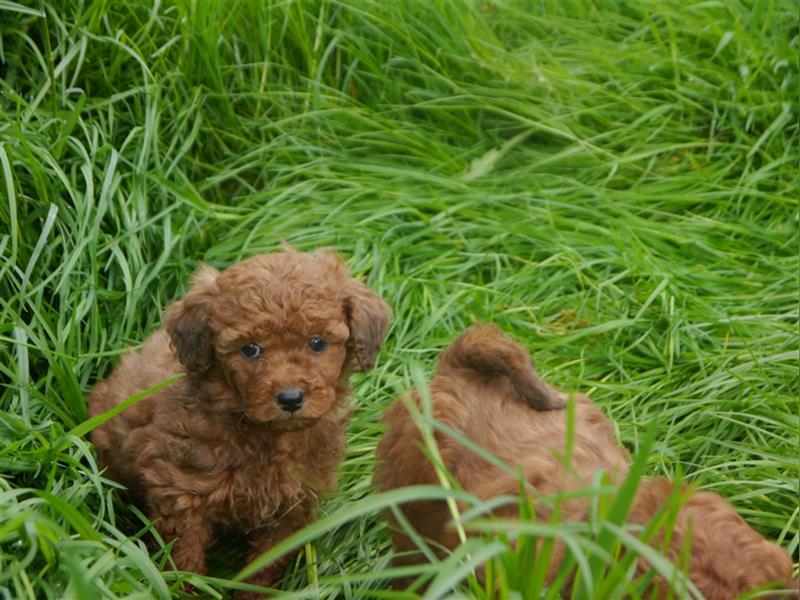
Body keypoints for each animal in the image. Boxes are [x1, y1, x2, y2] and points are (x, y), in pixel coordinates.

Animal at [90, 250, 390, 596]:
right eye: (250, 349)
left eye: (317, 343)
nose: (290, 398)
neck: (261, 432)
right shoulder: (180, 490)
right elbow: (184, 557)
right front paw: (183, 590)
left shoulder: (292, 506)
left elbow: (266, 563)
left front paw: (254, 594)